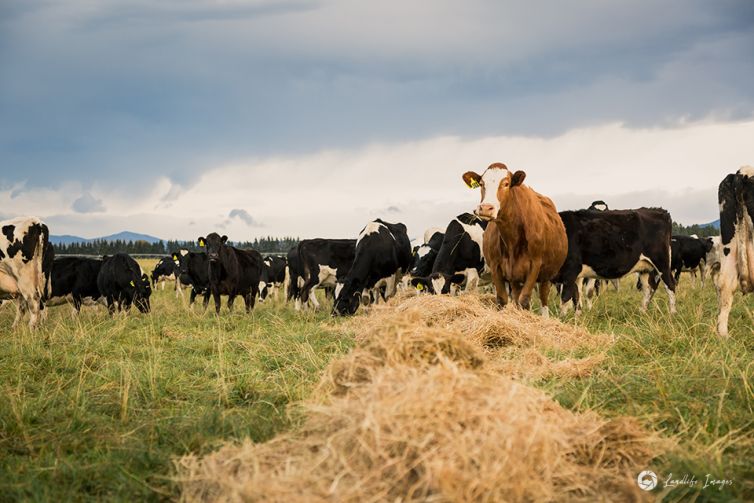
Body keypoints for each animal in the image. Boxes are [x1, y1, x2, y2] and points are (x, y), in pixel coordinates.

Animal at [462, 163, 568, 316]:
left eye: (506, 183)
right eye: (481, 183)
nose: (486, 208)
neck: (512, 239)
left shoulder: (535, 265)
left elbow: (525, 300)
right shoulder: (496, 267)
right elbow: (502, 300)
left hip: (546, 275)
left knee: (543, 298)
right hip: (516, 278)